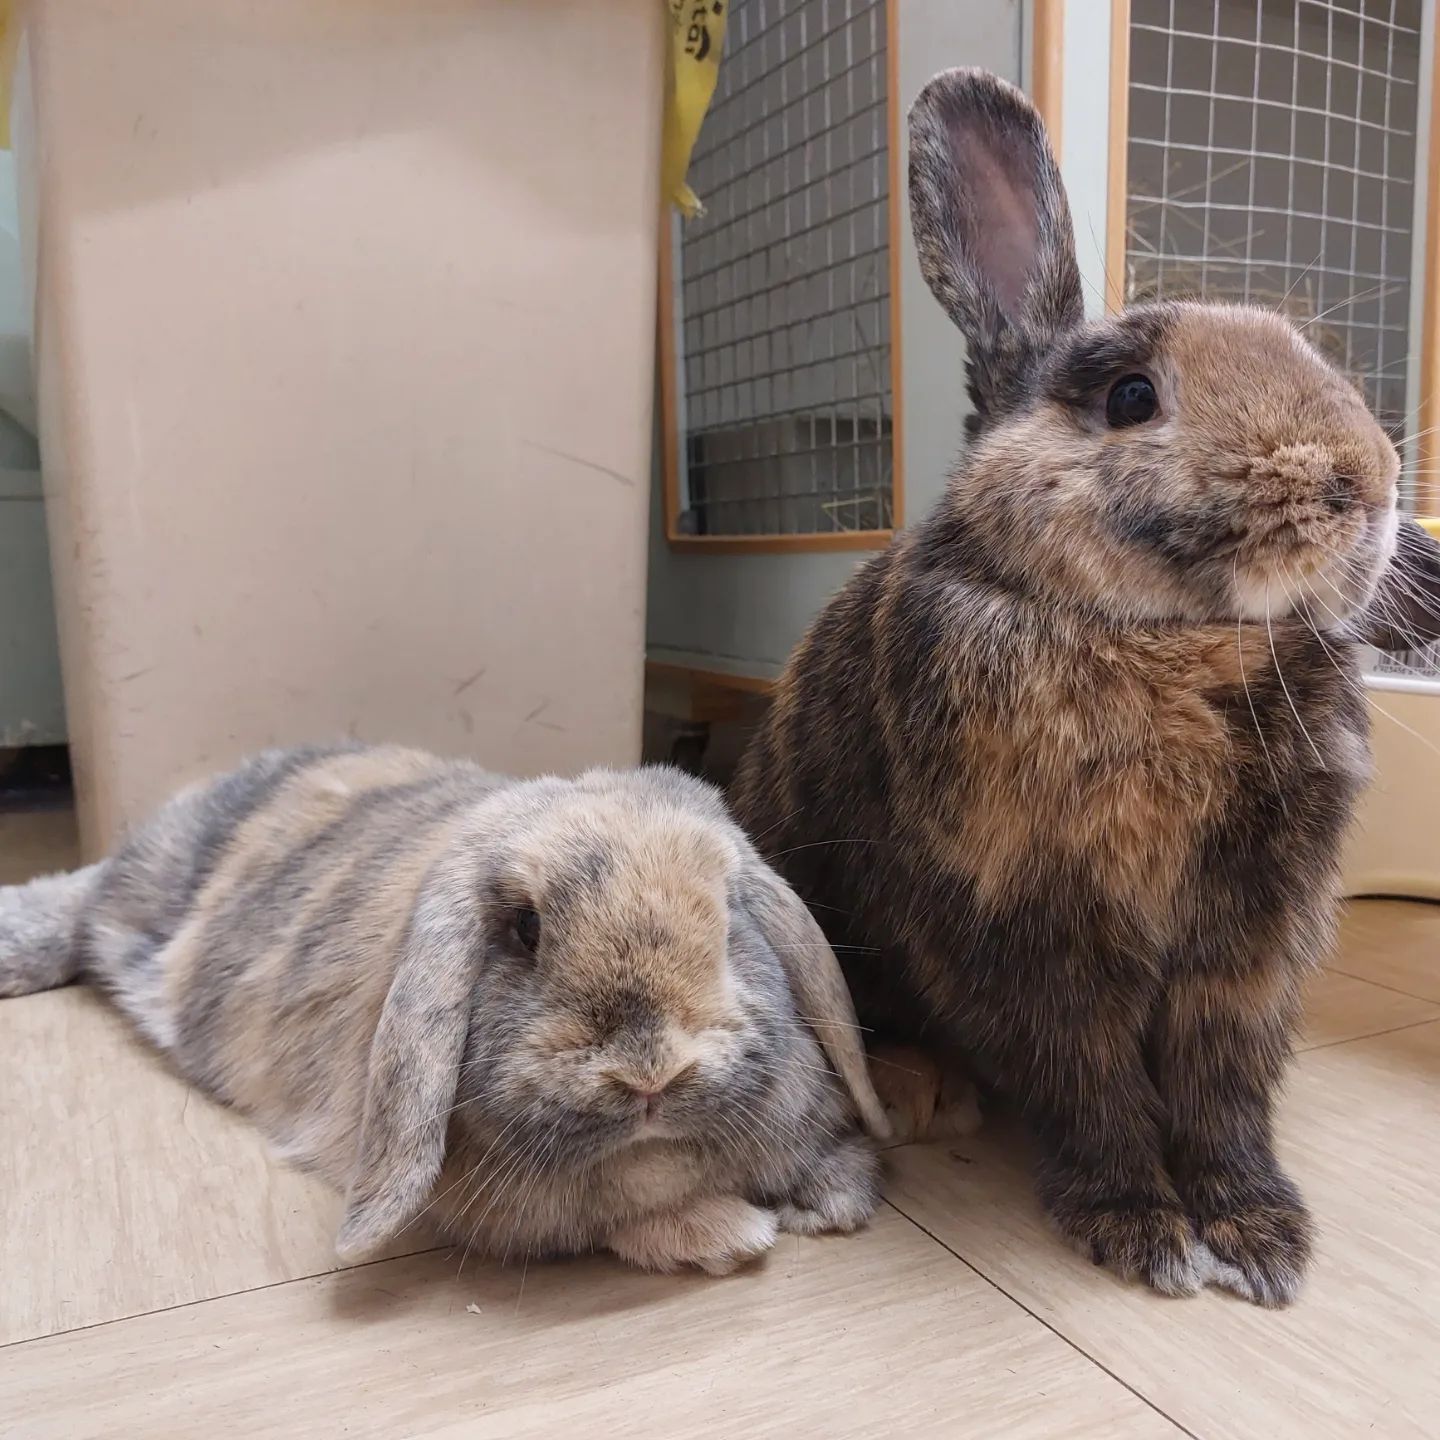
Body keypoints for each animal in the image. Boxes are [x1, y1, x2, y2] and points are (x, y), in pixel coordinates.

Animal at [0, 743, 888, 1276]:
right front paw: (730, 1233)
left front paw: (831, 1200)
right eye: (525, 928)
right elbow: (617, 1218)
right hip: (138, 892)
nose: (651, 1073)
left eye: (729, 914)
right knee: (79, 902)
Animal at [731, 68, 1416, 1308]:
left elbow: (1220, 1088)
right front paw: (1138, 1226)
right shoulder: (1026, 924)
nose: (1369, 483)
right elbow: (1091, 1081)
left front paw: (1258, 1234)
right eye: (1132, 396)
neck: (1172, 645)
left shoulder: (1247, 947)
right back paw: (918, 1089)